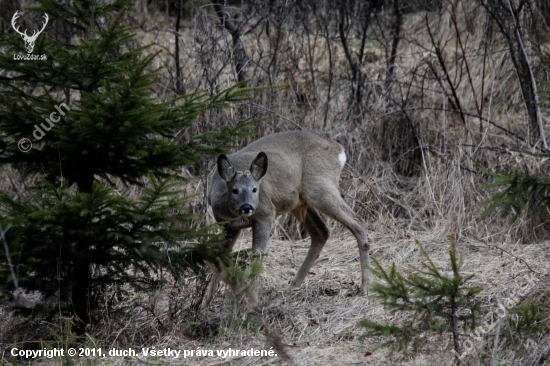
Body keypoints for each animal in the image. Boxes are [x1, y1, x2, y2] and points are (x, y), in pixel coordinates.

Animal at [203, 130, 370, 308]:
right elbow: (219, 259)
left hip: (321, 188)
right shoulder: (229, 227)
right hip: (300, 202)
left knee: (358, 221)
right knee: (322, 232)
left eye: (255, 189)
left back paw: (366, 286)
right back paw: (293, 286)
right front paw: (205, 303)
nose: (247, 207)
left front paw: (252, 302)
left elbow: (257, 257)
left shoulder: (265, 213)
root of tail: (339, 150)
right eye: (235, 190)